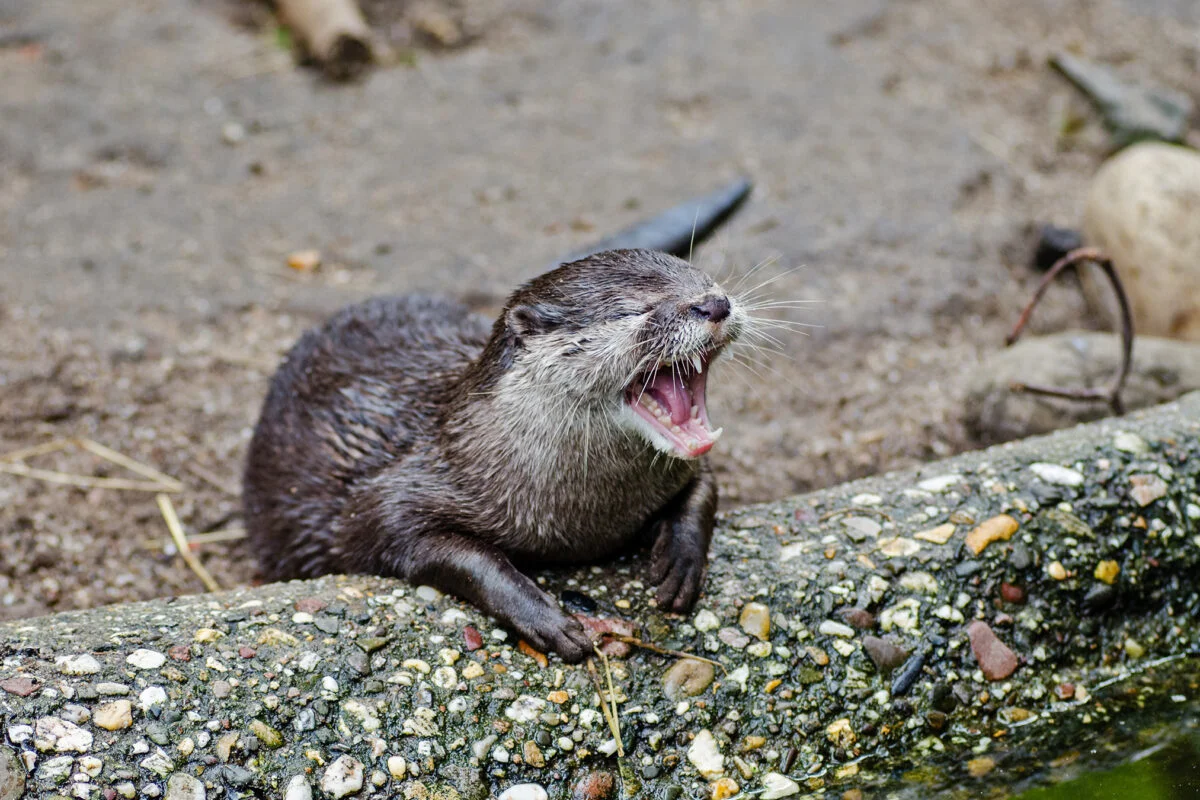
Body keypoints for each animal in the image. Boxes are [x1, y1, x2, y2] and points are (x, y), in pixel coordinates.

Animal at [242, 188, 748, 662]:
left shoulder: (683, 467)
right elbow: (455, 555)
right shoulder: (390, 503)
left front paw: (682, 559)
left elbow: (705, 486)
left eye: (705, 279)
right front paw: (545, 618)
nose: (715, 303)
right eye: (633, 309)